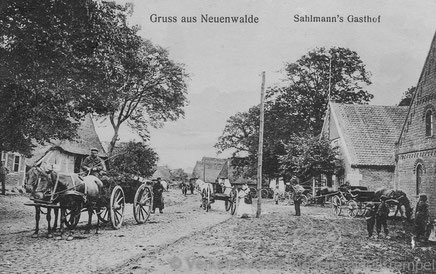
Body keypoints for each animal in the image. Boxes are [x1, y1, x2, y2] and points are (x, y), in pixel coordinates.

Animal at [24, 167, 153, 238]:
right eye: (27, 175)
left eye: (44, 179)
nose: (36, 194)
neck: (67, 185)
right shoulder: (61, 203)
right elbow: (59, 217)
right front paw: (56, 233)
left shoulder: (71, 204)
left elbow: (65, 218)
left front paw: (68, 234)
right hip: (90, 202)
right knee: (91, 212)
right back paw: (87, 228)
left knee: (101, 210)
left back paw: (95, 229)